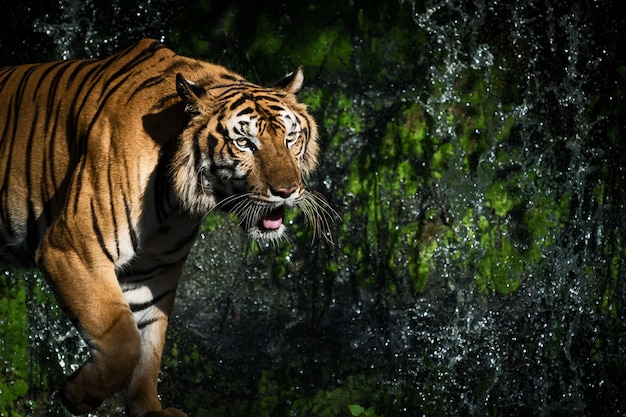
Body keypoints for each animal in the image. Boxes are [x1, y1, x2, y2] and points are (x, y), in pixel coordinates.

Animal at [0, 37, 334, 414]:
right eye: (244, 143)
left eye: (291, 137)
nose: (288, 191)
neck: (175, 200)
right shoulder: (72, 249)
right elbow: (123, 342)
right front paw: (78, 393)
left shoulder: (153, 269)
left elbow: (149, 343)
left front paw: (147, 407)